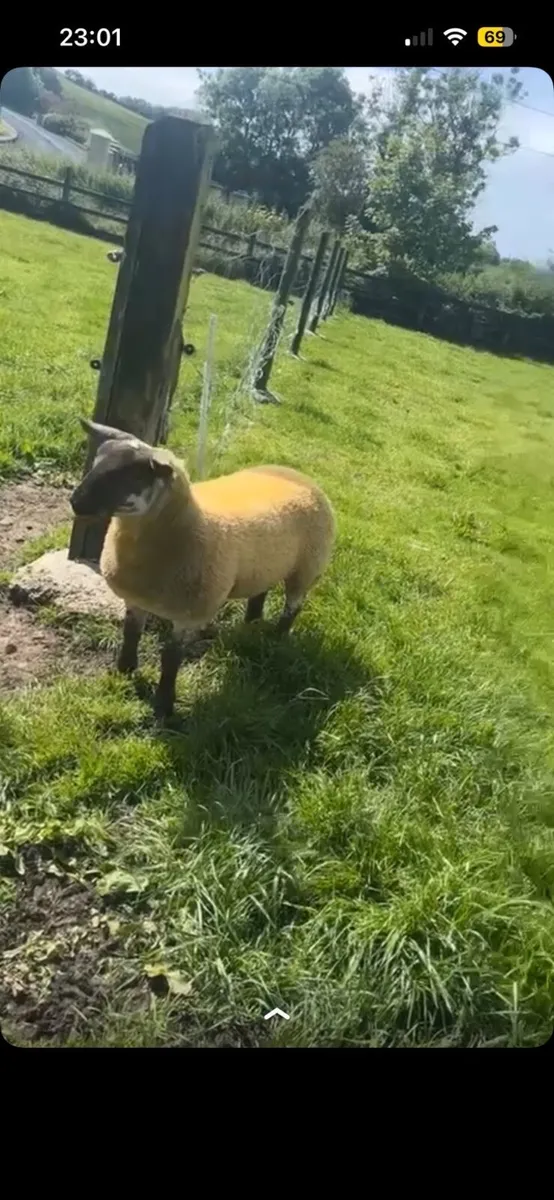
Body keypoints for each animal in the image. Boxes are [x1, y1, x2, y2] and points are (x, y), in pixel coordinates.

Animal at [70, 418, 336, 718]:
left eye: (130, 477)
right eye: (95, 464)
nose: (75, 502)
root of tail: (298, 474)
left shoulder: (190, 613)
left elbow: (171, 657)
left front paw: (164, 706)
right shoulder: (135, 599)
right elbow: (131, 634)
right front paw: (124, 671)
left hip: (307, 566)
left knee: (293, 607)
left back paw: (277, 639)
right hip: (264, 564)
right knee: (259, 593)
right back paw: (251, 626)